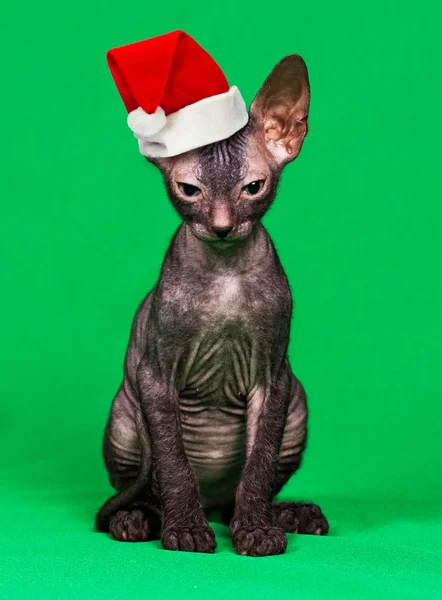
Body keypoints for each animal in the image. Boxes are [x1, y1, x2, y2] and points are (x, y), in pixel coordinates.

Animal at [97, 54, 332, 556]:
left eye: (253, 187)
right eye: (189, 191)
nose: (222, 227)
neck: (225, 277)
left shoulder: (273, 377)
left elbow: (259, 465)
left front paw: (256, 530)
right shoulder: (156, 376)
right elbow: (174, 462)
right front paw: (185, 529)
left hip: (297, 402)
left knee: (239, 494)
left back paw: (288, 513)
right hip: (124, 416)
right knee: (145, 488)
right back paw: (138, 519)